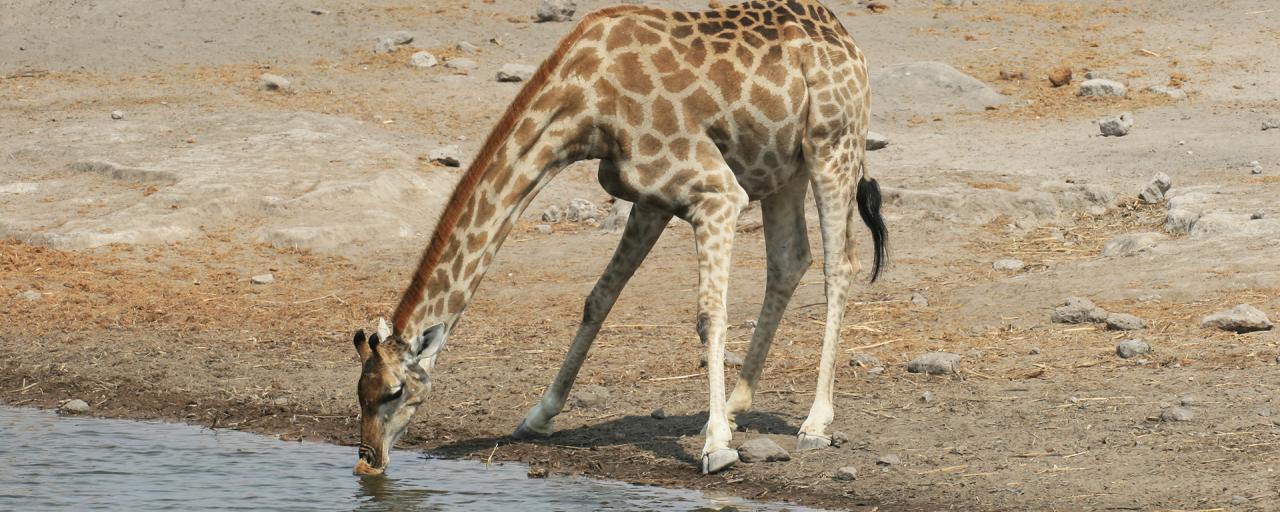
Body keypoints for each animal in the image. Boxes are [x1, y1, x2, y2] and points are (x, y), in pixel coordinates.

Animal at [350, 0, 890, 476]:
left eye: (394, 392)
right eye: (360, 392)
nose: (368, 460)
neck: (584, 106)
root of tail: (847, 39)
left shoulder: (716, 193)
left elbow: (709, 316)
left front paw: (717, 449)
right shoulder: (652, 199)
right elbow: (600, 298)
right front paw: (539, 415)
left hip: (832, 146)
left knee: (838, 266)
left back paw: (814, 424)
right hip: (781, 167)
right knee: (789, 259)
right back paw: (737, 404)